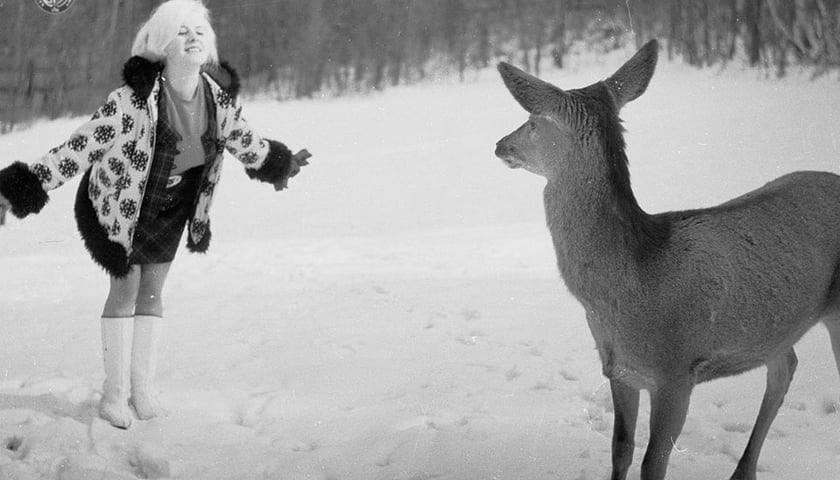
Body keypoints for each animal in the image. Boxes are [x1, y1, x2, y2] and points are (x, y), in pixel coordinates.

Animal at [492, 37, 840, 480]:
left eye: (534, 120)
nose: (500, 144)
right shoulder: (619, 370)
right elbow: (620, 449)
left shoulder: (677, 371)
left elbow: (653, 463)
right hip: (777, 323)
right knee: (784, 368)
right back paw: (743, 470)